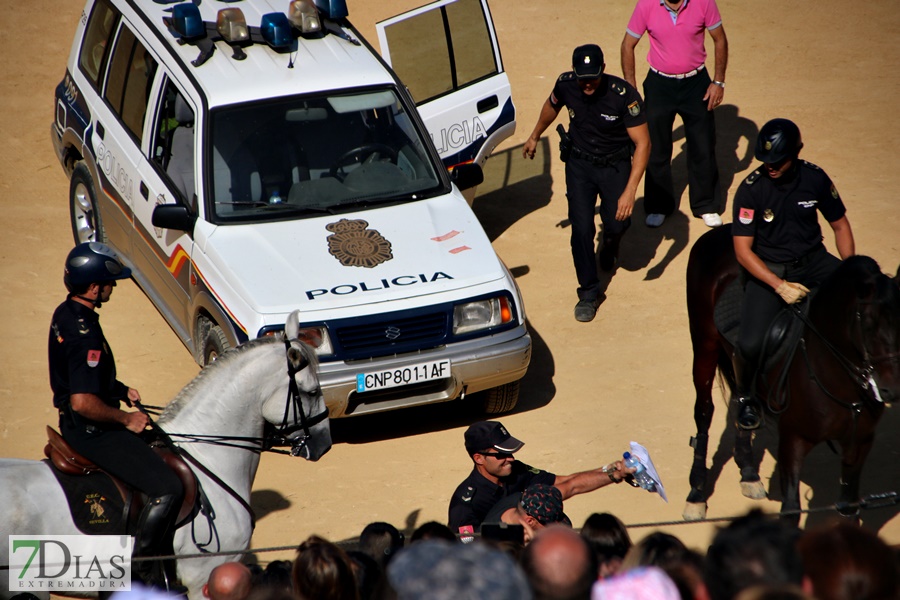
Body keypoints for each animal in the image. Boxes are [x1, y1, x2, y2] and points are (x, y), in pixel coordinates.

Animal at [684, 227, 900, 524]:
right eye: (867, 323)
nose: (890, 389)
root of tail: (719, 232)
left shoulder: (860, 442)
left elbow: (848, 508)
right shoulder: (792, 439)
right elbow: (791, 509)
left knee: (742, 399)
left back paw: (748, 473)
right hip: (704, 346)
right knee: (704, 412)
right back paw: (696, 494)